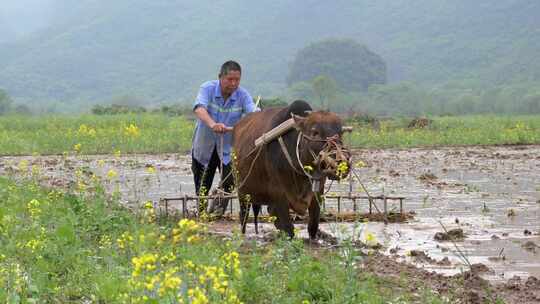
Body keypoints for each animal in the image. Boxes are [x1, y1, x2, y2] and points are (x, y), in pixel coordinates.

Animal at [232, 101, 350, 239]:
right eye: (315, 132)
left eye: (340, 133)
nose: (341, 161)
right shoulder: (278, 195)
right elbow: (288, 229)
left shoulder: (318, 192)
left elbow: (313, 226)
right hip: (242, 193)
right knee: (243, 216)